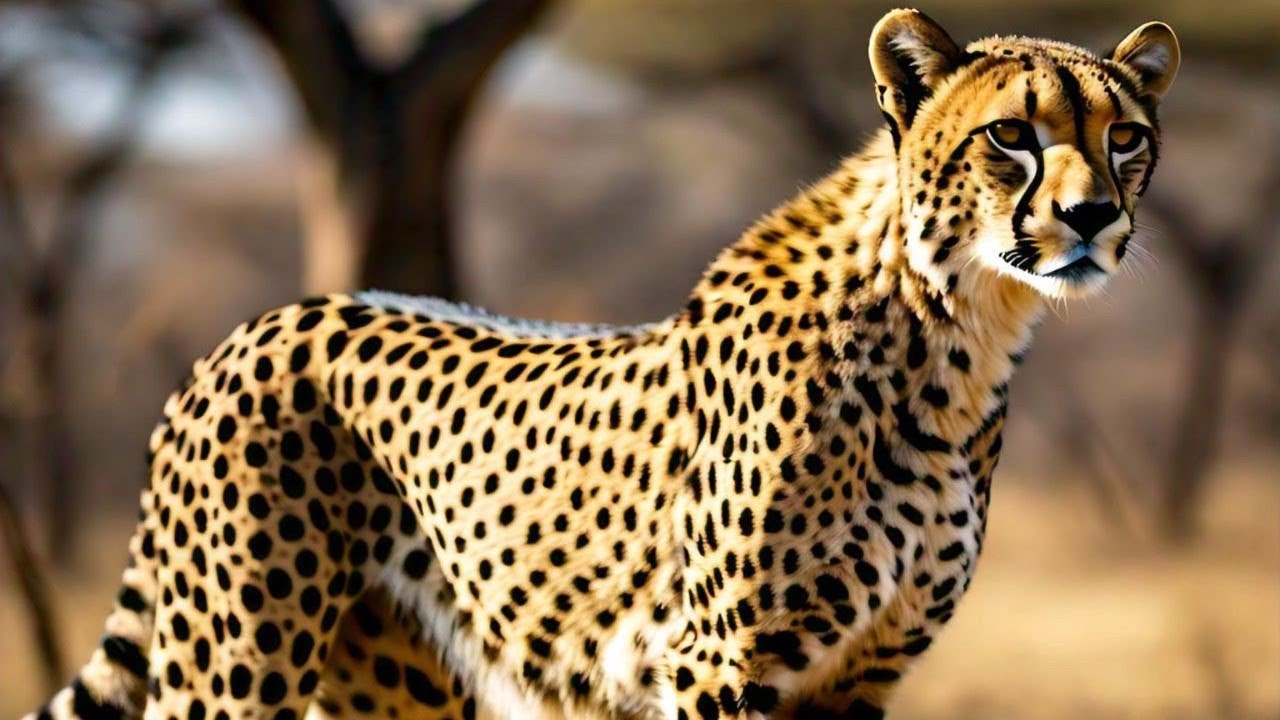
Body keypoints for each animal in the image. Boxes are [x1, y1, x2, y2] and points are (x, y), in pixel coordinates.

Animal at [23, 9, 1179, 720]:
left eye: (1123, 135)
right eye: (1011, 135)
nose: (1091, 216)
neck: (954, 335)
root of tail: (258, 323)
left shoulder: (860, 673)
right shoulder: (721, 666)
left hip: (391, 679)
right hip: (234, 663)